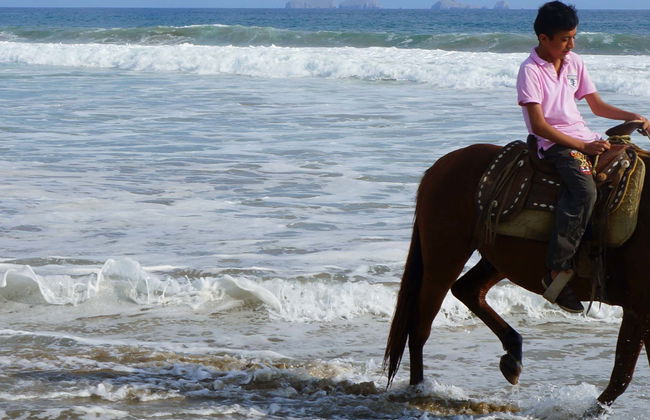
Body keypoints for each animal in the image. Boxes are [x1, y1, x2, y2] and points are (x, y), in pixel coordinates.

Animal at [383, 133, 650, 416]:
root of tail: (439, 167)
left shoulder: (639, 311)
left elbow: (624, 373)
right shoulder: (641, 309)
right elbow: (623, 375)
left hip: (497, 259)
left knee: (467, 289)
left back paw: (512, 354)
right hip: (444, 256)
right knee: (420, 323)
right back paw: (418, 390)